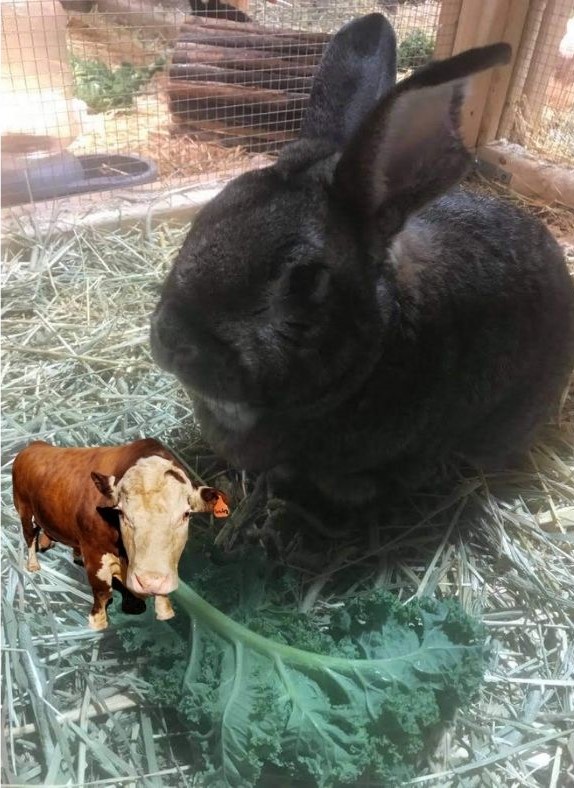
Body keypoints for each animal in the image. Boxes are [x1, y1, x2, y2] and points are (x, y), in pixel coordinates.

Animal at [12, 438, 230, 630]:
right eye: (122, 513)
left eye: (185, 515)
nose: (149, 581)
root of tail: (34, 445)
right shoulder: (95, 554)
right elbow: (102, 590)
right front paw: (98, 623)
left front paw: (162, 611)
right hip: (23, 509)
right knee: (29, 536)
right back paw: (33, 565)